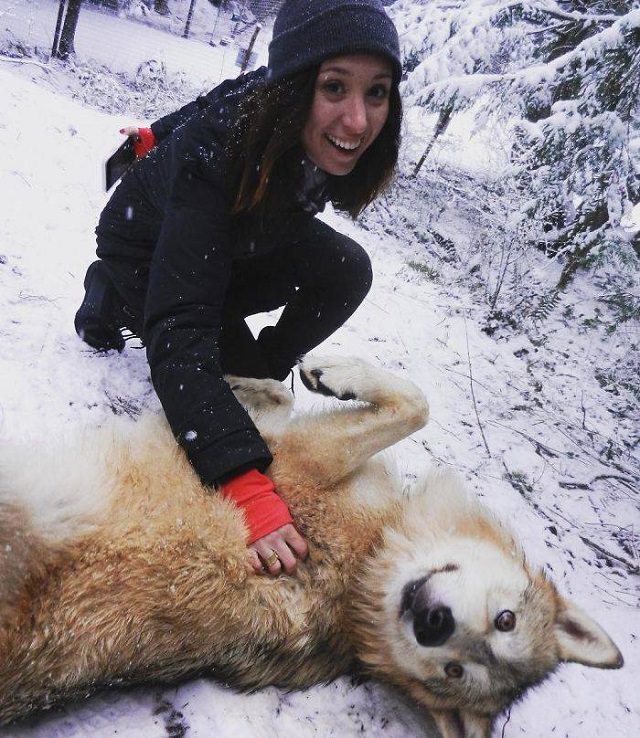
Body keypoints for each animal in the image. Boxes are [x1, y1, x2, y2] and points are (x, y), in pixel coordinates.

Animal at [0, 356, 624, 732]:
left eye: (454, 673)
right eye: (505, 620)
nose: (431, 623)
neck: (370, 558)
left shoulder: (305, 457)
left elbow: (415, 405)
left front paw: (325, 374)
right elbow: (283, 396)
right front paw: (257, 380)